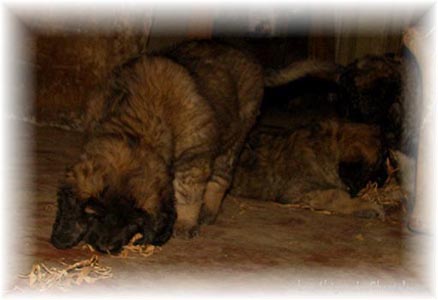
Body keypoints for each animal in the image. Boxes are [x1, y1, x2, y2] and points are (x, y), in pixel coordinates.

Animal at [231, 119, 388, 218]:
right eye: (376, 166)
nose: (386, 177)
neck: (329, 147)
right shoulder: (298, 191)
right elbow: (335, 195)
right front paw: (365, 206)